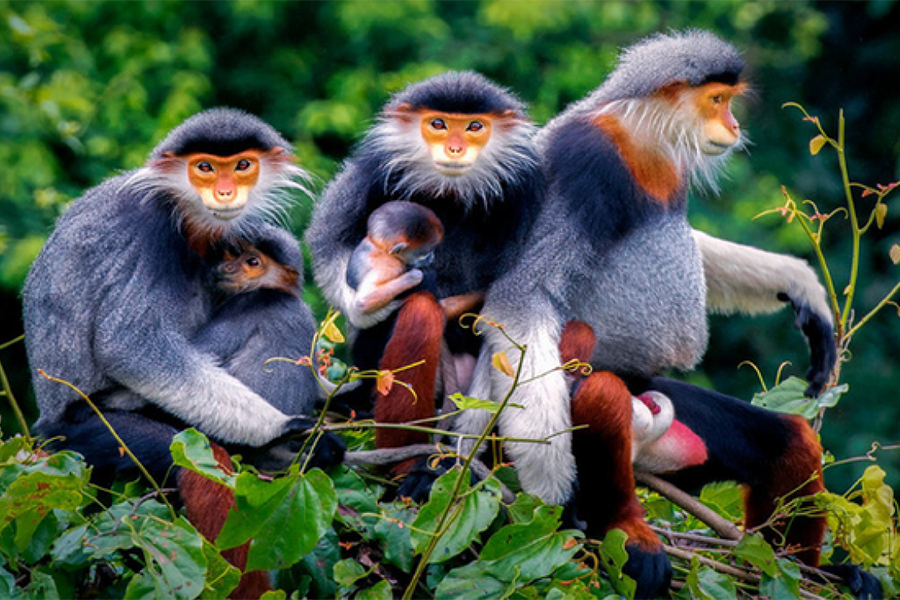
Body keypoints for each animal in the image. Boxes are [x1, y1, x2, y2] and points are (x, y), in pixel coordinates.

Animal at [306, 71, 543, 458]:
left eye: (475, 126)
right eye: (438, 124)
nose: (454, 148)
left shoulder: (524, 192)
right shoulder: (374, 168)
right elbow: (329, 242)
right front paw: (368, 304)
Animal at [454, 31, 876, 599]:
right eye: (717, 101)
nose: (734, 126)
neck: (640, 141)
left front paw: (798, 284)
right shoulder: (582, 165)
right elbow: (522, 299)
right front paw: (551, 493)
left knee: (790, 442)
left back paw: (814, 573)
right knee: (602, 394)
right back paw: (630, 537)